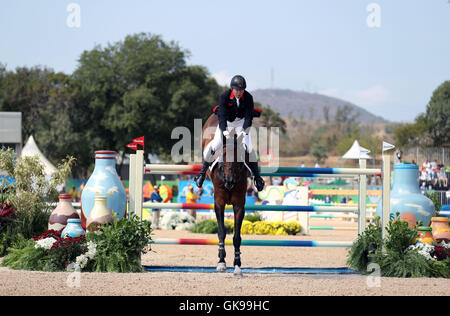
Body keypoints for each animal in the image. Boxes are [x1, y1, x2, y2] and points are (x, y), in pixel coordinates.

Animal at [201, 114, 248, 276]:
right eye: (224, 154)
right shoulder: (219, 203)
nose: (230, 180)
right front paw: (221, 262)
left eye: (240, 156)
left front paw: (237, 264)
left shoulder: (239, 205)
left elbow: (237, 237)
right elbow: (221, 232)